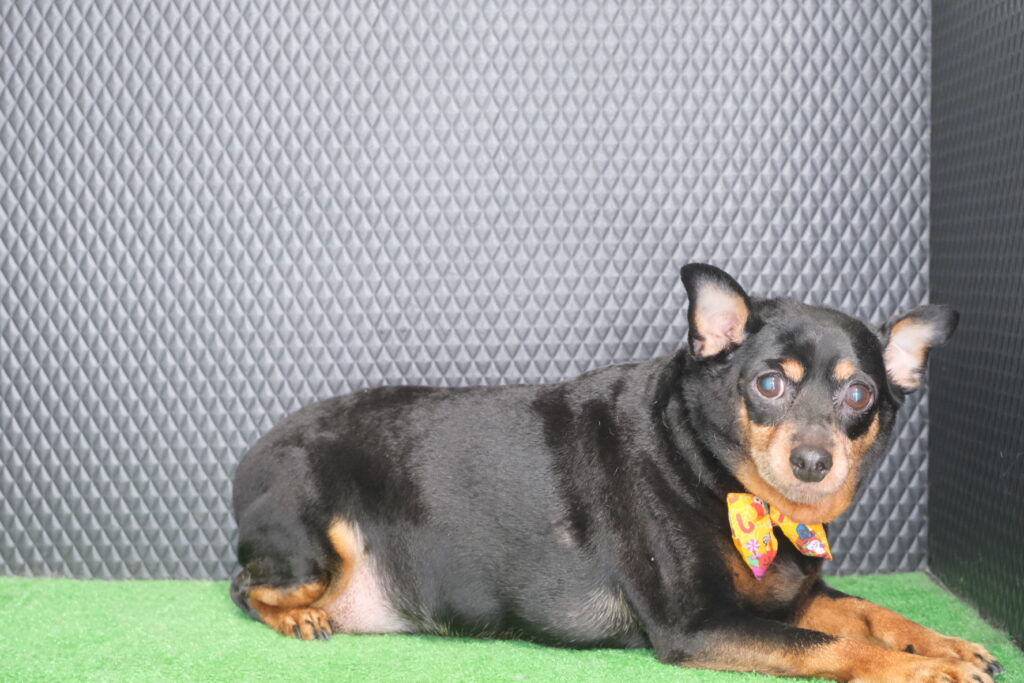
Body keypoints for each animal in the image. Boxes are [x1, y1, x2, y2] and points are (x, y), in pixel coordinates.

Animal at [231, 263, 1003, 681]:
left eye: (860, 395)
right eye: (769, 385)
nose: (813, 461)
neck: (725, 483)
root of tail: (249, 460)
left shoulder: (787, 600)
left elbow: (870, 613)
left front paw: (948, 643)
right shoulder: (698, 625)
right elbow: (834, 643)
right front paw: (927, 666)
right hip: (314, 548)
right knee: (246, 587)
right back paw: (300, 618)